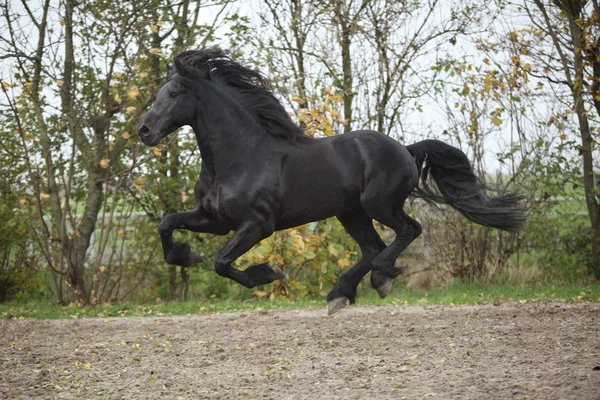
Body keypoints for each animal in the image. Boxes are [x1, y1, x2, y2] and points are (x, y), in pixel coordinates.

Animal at [137, 50, 524, 314]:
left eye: (173, 94)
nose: (144, 131)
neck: (239, 157)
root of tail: (405, 149)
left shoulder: (257, 225)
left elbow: (221, 262)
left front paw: (268, 273)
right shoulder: (215, 221)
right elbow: (167, 224)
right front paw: (186, 255)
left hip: (379, 205)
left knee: (407, 232)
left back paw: (381, 278)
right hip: (351, 212)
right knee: (372, 248)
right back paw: (341, 293)